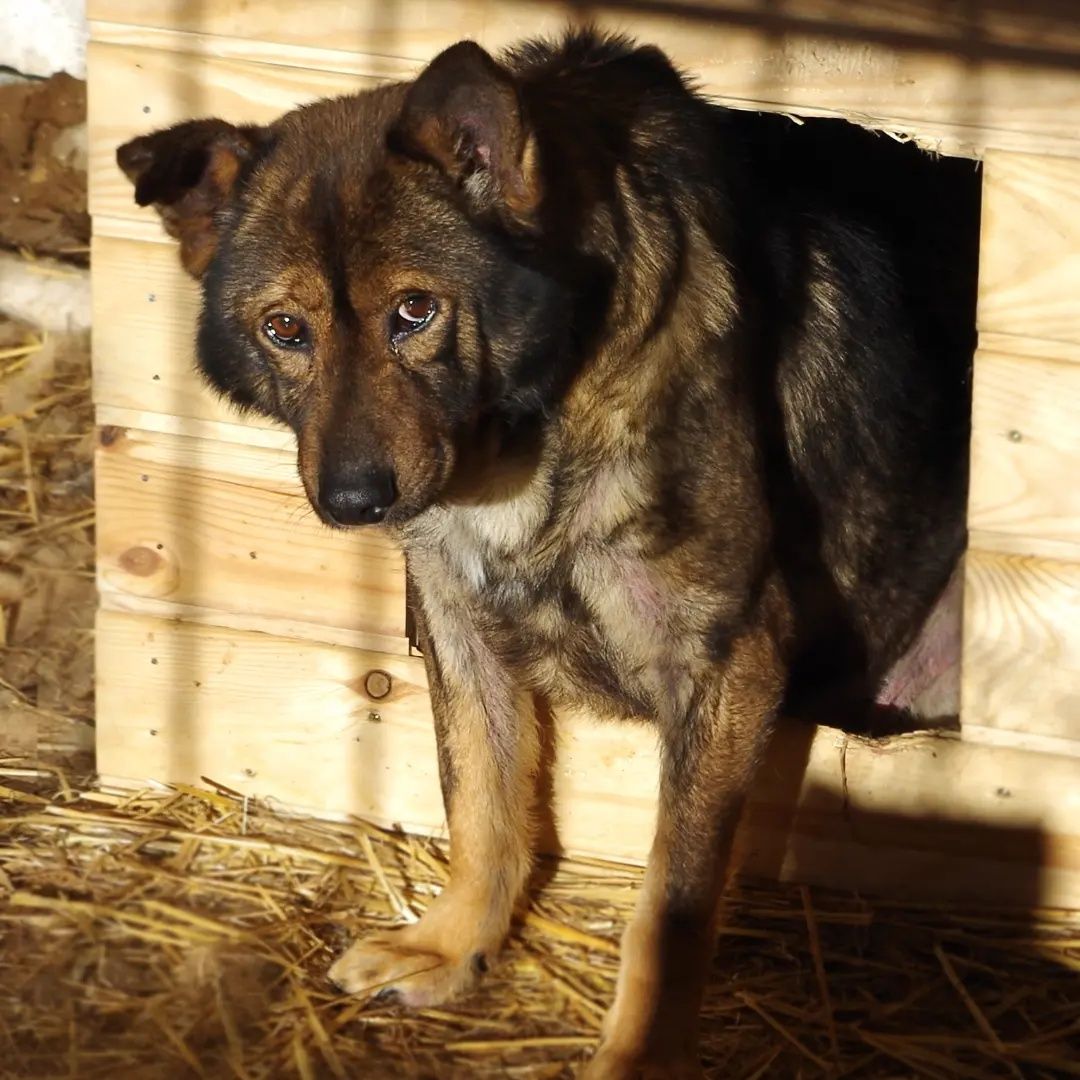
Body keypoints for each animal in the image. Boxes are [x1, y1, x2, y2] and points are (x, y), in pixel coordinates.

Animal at [116, 29, 980, 1075]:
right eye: (286, 330)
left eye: (415, 312)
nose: (355, 501)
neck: (529, 438)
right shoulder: (458, 631)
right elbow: (479, 803)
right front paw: (456, 946)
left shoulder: (725, 667)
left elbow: (668, 912)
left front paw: (640, 1057)